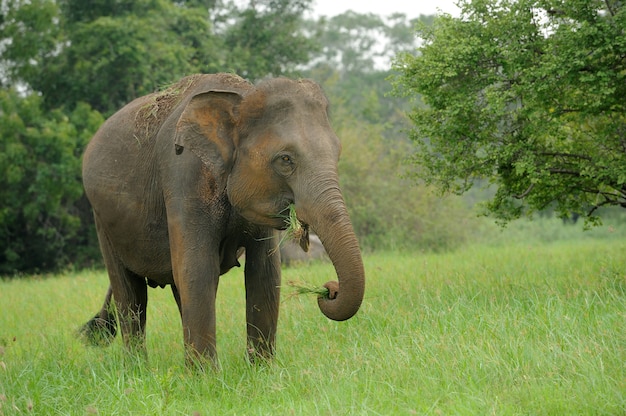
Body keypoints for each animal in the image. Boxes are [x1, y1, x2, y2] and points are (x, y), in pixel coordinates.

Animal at [81, 73, 366, 366]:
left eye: (338, 153)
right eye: (285, 159)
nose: (329, 290)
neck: (241, 97)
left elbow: (264, 273)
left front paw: (262, 370)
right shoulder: (183, 173)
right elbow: (198, 268)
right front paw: (206, 375)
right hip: (103, 221)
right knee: (130, 294)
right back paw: (139, 368)